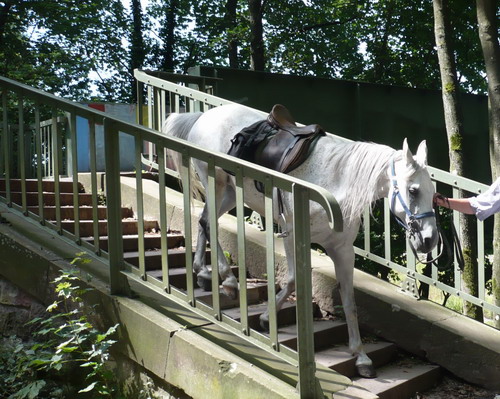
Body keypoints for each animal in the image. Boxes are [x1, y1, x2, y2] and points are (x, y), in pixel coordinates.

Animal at [163, 103, 438, 378]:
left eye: (434, 193)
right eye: (413, 190)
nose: (429, 240)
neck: (336, 183)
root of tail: (204, 115)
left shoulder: (342, 250)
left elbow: (349, 301)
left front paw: (361, 357)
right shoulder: (292, 234)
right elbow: (294, 280)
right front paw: (267, 318)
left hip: (230, 193)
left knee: (203, 220)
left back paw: (202, 271)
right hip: (216, 183)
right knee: (209, 223)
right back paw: (228, 281)